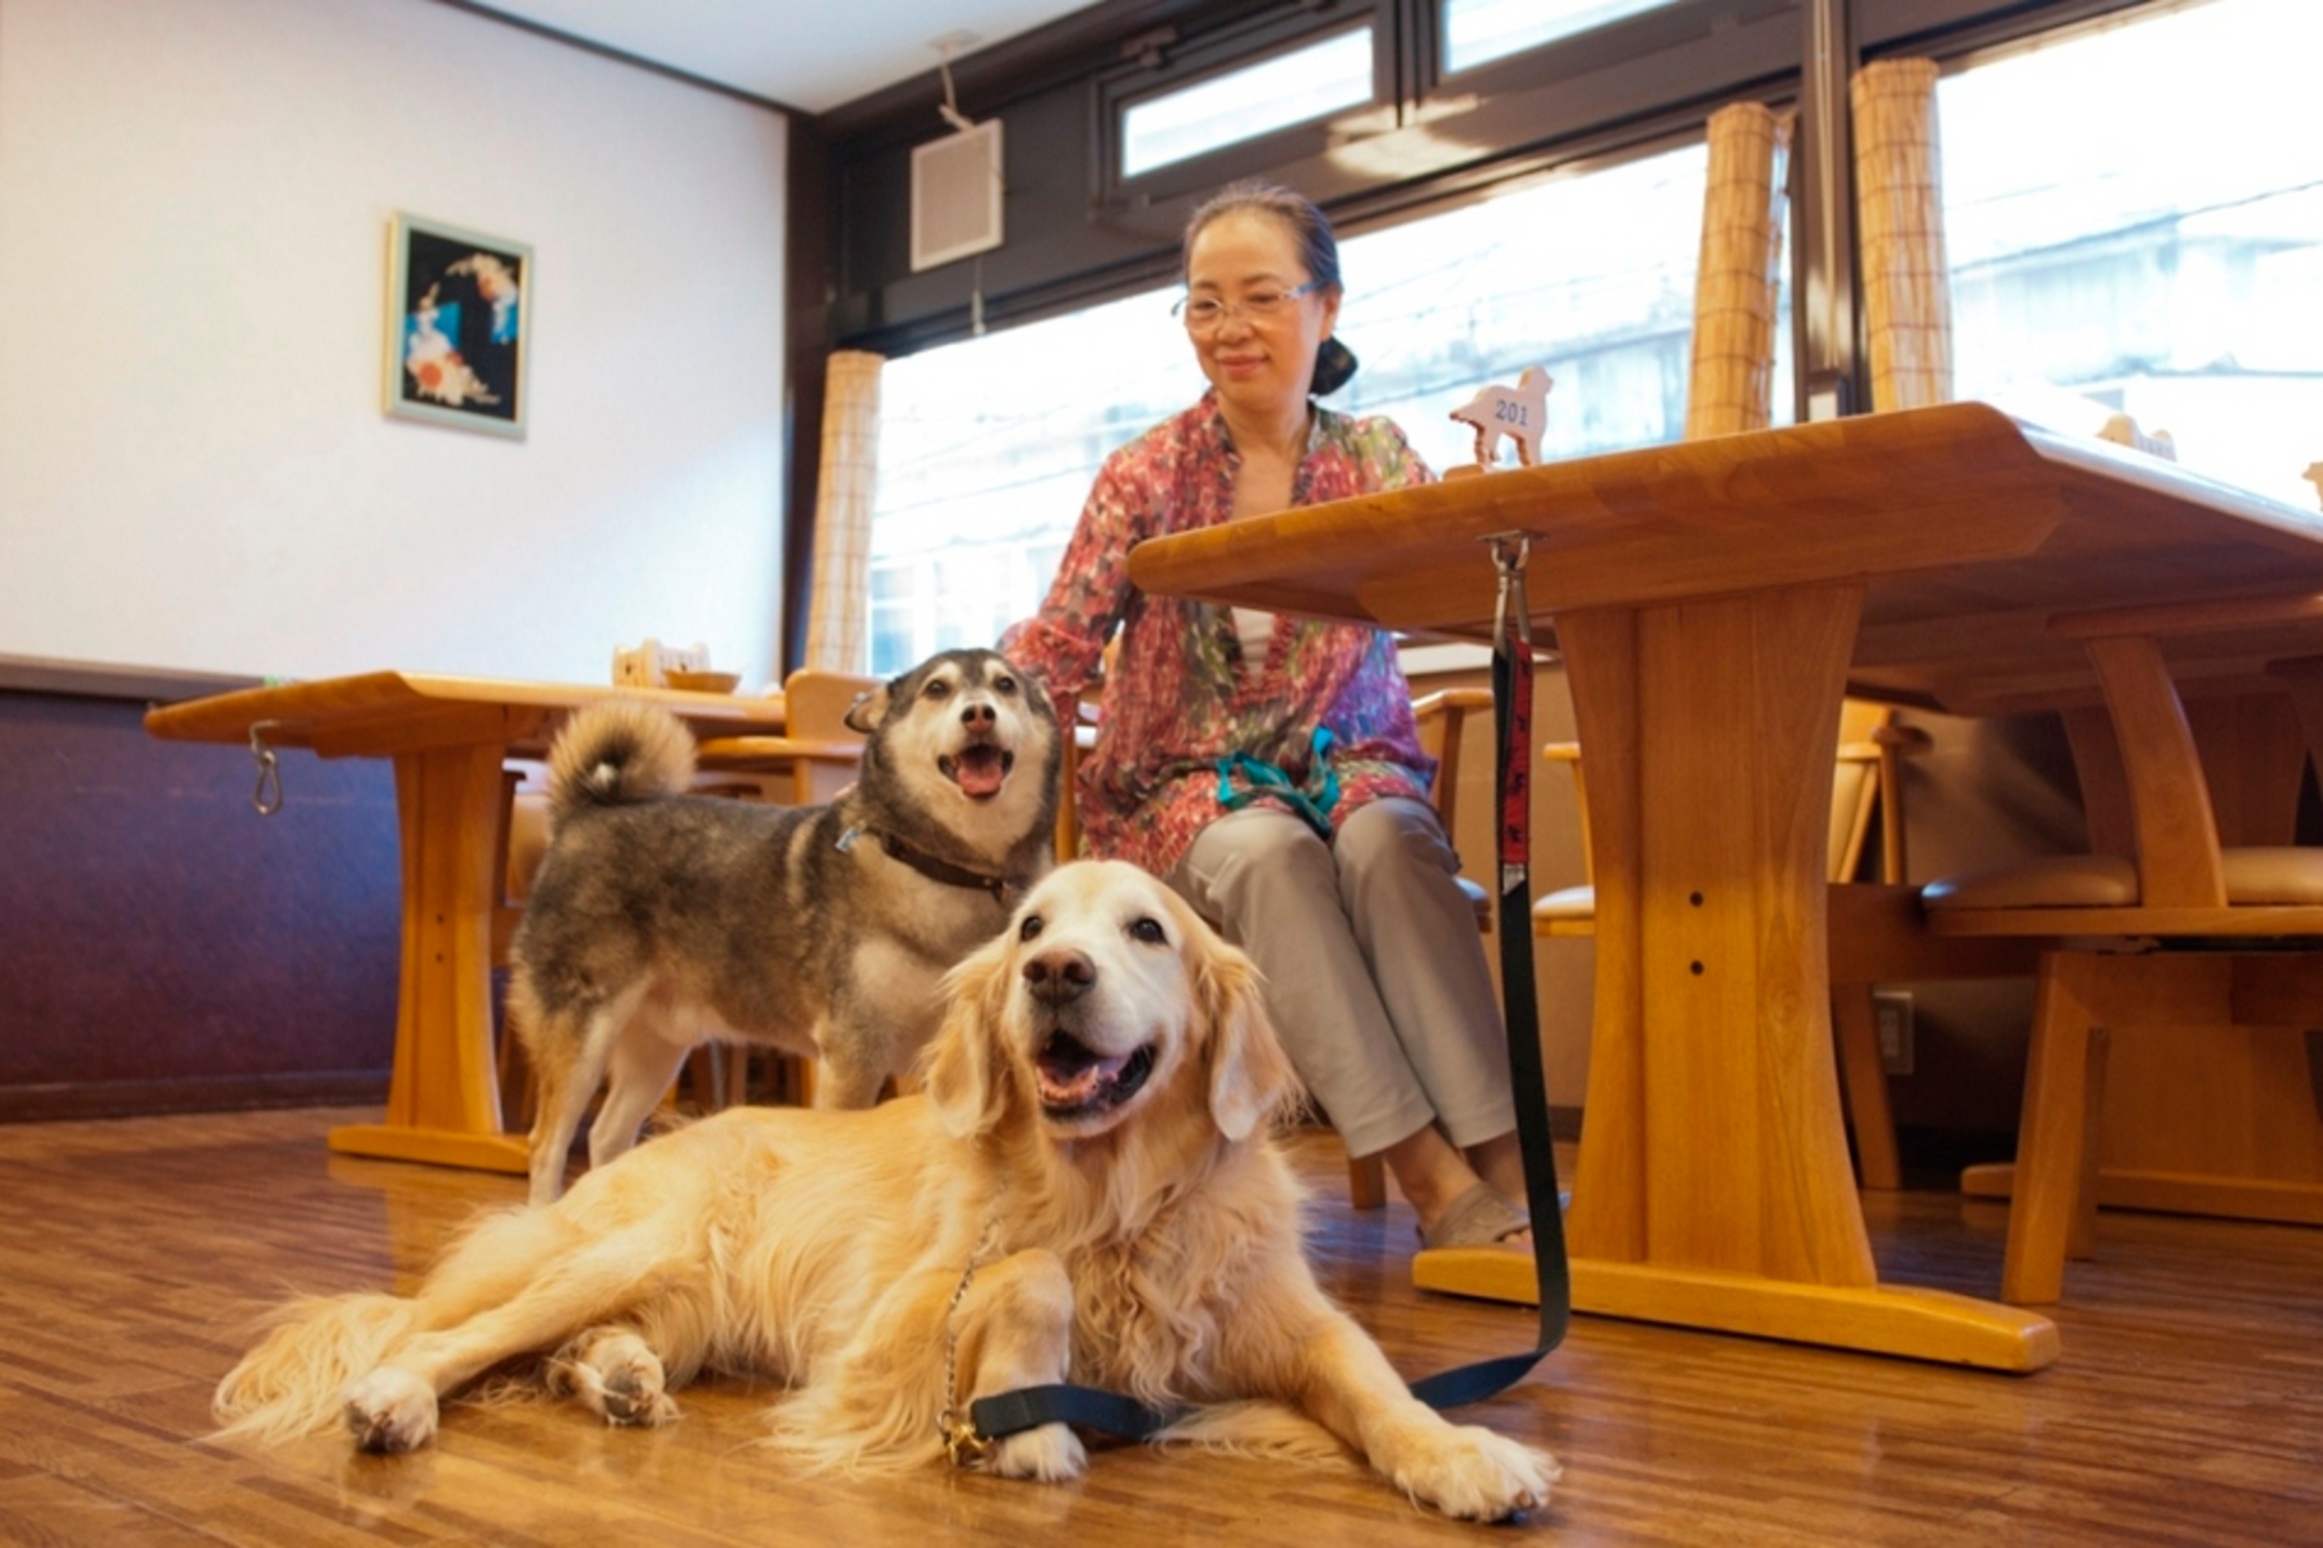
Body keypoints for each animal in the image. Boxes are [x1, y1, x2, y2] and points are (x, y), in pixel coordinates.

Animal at [513, 646, 1059, 1199]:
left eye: (1006, 685)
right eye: (937, 689)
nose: (979, 713)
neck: (949, 870)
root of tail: (584, 815)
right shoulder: (853, 1053)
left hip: (658, 1049)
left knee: (606, 1136)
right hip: (584, 1034)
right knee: (547, 1144)